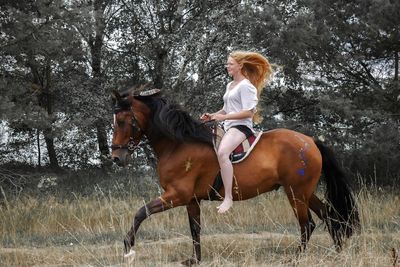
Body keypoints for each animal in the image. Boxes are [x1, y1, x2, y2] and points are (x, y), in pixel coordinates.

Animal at [111, 89, 360, 266]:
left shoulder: (177, 195)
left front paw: (128, 248)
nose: (116, 158)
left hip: (296, 193)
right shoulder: (191, 200)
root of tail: (310, 141)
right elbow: (195, 229)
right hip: (304, 192)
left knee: (307, 224)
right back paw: (337, 252)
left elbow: (141, 212)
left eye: (122, 121)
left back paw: (296, 258)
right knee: (329, 215)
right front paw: (195, 260)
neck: (178, 144)